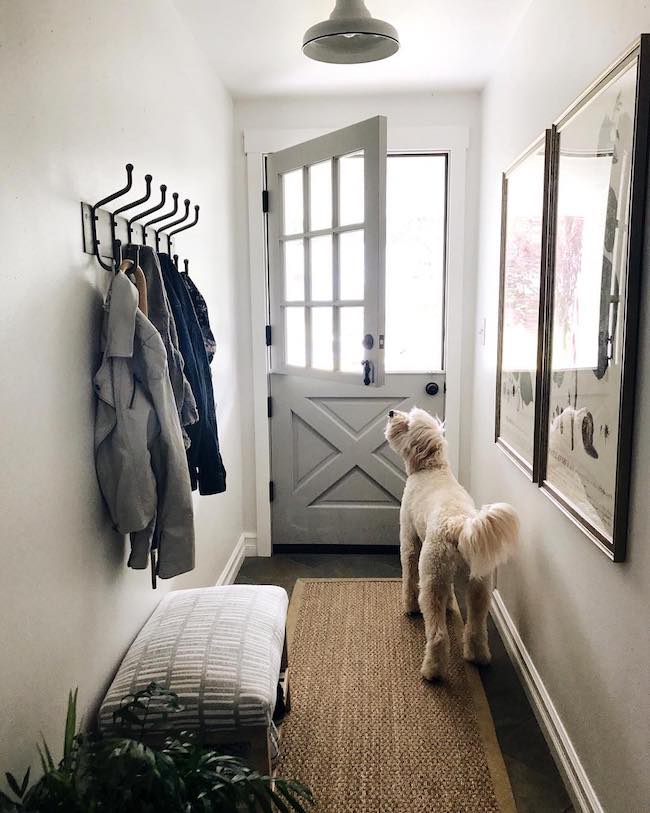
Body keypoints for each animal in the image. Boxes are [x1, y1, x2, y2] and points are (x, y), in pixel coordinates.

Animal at [384, 406, 516, 680]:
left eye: (408, 422)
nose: (391, 412)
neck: (431, 468)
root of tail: (458, 525)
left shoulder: (409, 538)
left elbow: (408, 574)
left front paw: (408, 606)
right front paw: (449, 607)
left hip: (431, 573)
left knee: (437, 634)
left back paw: (432, 670)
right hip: (478, 584)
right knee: (476, 627)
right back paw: (478, 656)